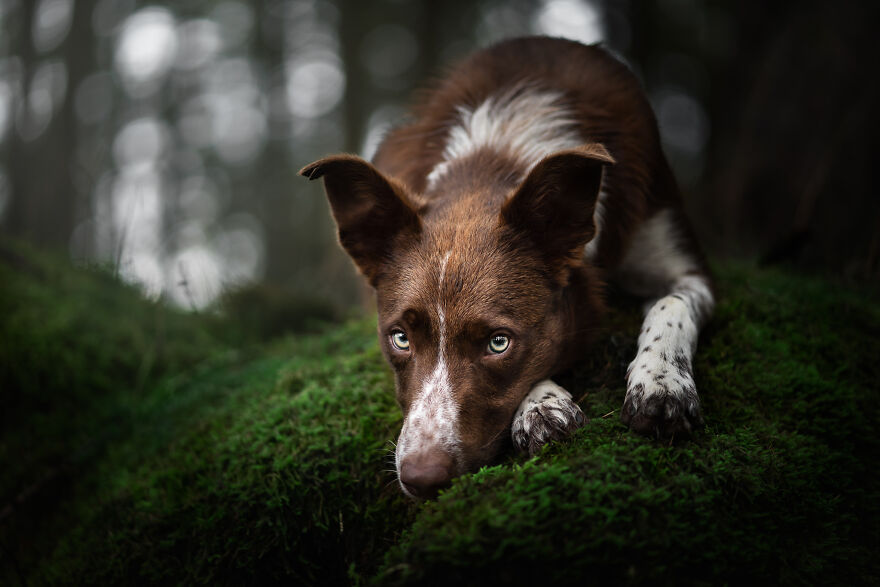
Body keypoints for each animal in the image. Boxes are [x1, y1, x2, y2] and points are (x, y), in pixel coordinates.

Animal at [300, 36, 712, 498]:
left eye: (499, 343)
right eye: (400, 339)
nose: (421, 479)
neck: (494, 154)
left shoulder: (683, 263)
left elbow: (671, 305)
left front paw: (661, 383)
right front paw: (542, 406)